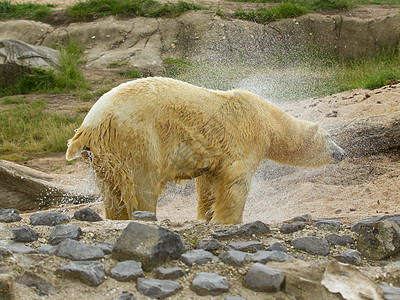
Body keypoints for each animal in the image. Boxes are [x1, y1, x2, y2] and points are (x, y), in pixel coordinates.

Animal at [67, 77, 346, 225]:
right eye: (330, 137)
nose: (342, 153)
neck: (267, 120)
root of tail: (89, 125)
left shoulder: (216, 156)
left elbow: (209, 185)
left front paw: (206, 216)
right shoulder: (245, 138)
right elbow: (235, 183)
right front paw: (229, 220)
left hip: (103, 156)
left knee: (112, 190)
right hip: (137, 138)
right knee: (142, 185)